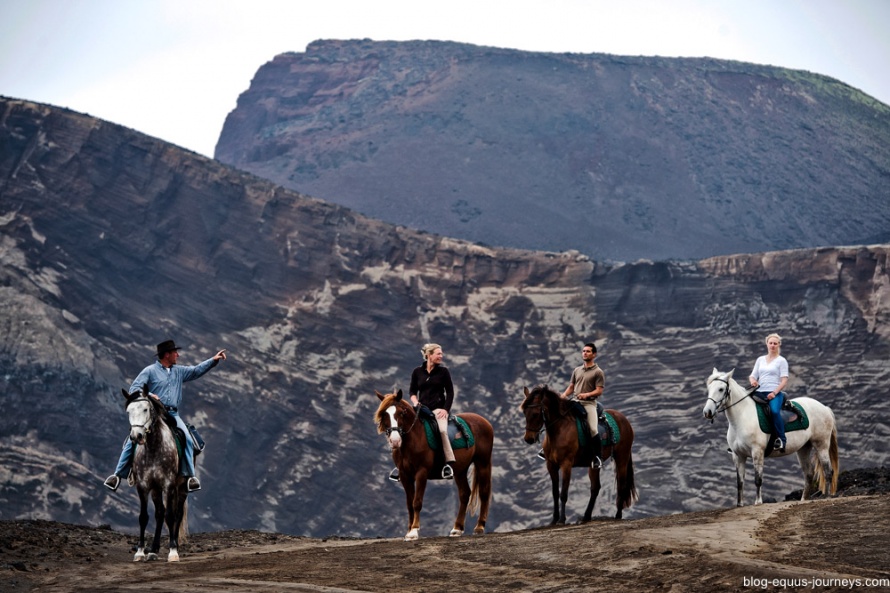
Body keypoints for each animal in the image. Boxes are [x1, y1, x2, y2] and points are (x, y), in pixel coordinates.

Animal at [123, 384, 189, 560]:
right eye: (129, 411)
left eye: (146, 409)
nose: (136, 436)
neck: (153, 448)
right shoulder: (143, 486)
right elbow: (143, 517)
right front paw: (140, 551)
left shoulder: (169, 485)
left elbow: (171, 516)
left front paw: (173, 551)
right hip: (155, 490)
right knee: (160, 513)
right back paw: (153, 549)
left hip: (181, 488)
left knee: (177, 513)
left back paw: (176, 544)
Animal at [372, 390, 492, 540]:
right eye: (384, 414)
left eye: (401, 413)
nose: (395, 441)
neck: (414, 438)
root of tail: (483, 421)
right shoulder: (405, 475)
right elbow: (409, 504)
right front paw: (409, 530)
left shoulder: (421, 473)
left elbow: (417, 502)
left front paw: (414, 530)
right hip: (460, 470)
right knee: (464, 494)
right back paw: (457, 528)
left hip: (483, 463)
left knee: (484, 492)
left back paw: (479, 527)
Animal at [516, 384, 636, 524]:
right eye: (524, 413)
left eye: (535, 414)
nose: (528, 439)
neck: (559, 429)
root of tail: (624, 419)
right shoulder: (551, 465)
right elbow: (555, 493)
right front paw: (554, 519)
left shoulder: (566, 465)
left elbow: (563, 494)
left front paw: (562, 520)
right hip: (593, 465)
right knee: (595, 488)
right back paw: (586, 516)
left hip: (622, 459)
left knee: (621, 485)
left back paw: (618, 515)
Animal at [700, 370, 832, 504]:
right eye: (709, 388)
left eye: (721, 389)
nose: (707, 412)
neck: (742, 417)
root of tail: (824, 408)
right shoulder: (738, 456)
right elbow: (740, 482)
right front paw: (739, 504)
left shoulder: (757, 452)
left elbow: (758, 479)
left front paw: (758, 502)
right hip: (803, 448)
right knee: (809, 474)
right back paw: (803, 500)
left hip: (821, 445)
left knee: (827, 472)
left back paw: (826, 497)